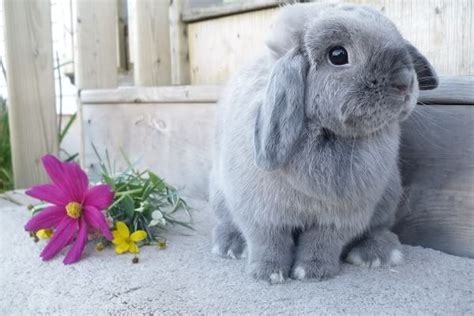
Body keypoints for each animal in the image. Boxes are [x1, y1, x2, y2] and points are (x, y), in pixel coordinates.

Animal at [209, 2, 438, 284]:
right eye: (338, 55)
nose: (405, 82)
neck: (325, 132)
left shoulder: (339, 217)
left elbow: (323, 241)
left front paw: (312, 272)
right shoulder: (260, 213)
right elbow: (268, 241)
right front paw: (268, 273)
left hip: (388, 196)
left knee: (379, 228)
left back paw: (376, 254)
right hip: (219, 194)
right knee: (226, 222)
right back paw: (230, 247)